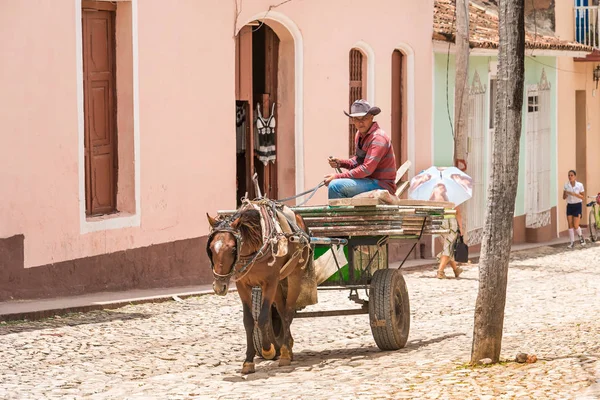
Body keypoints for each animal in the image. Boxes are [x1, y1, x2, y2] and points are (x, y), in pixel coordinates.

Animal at [206, 203, 312, 376]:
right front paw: (248, 361)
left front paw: (268, 350)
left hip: (294, 275)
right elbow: (248, 321)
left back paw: (284, 352)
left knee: (288, 311)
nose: (219, 287)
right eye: (210, 248)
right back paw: (287, 348)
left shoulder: (269, 282)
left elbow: (262, 318)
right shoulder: (243, 285)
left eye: (233, 249)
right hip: (279, 282)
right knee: (281, 310)